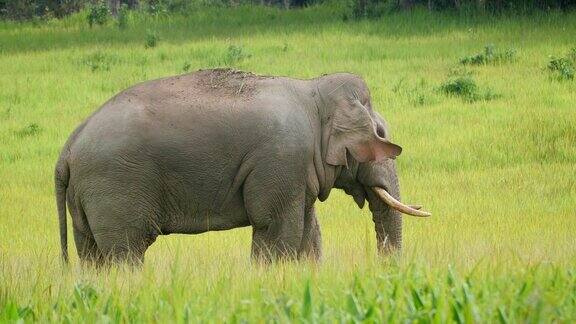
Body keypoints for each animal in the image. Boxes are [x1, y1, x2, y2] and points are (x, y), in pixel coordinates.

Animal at [56, 68, 430, 266]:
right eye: (382, 137)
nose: (385, 267)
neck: (315, 94)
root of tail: (68, 146)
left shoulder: (295, 171)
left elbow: (308, 230)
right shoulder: (282, 160)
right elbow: (278, 228)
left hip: (87, 199)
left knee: (93, 255)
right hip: (115, 187)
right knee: (125, 252)